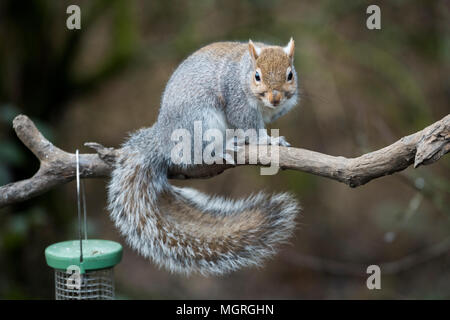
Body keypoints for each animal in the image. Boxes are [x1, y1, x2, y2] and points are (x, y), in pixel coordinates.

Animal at [107, 38, 300, 276]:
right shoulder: (237, 101)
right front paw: (268, 140)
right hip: (199, 122)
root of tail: (163, 138)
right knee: (194, 154)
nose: (275, 98)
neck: (242, 71)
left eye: (290, 75)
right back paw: (221, 148)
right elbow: (249, 126)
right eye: (257, 76)